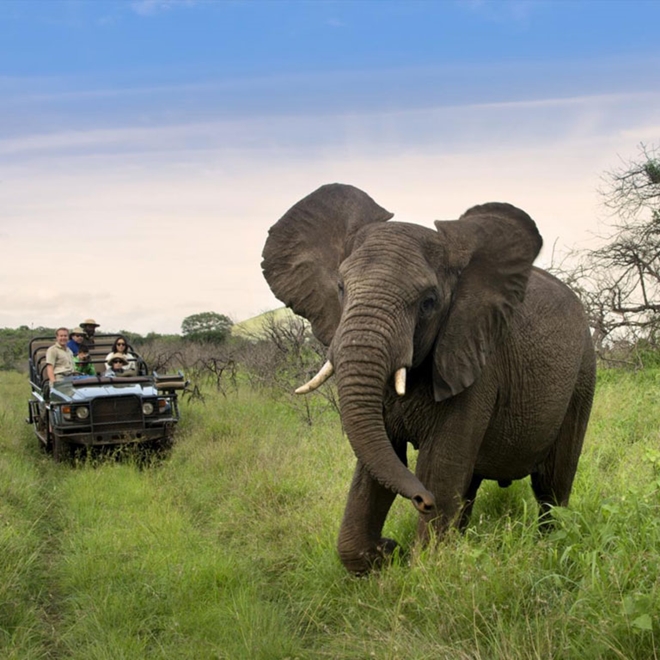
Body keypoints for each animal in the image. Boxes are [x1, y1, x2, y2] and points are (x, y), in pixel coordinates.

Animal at [261, 183, 596, 575]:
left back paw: (549, 545)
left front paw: (422, 564)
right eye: (341, 288)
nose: (422, 501)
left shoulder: (475, 361)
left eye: (429, 302)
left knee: (552, 485)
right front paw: (384, 556)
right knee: (470, 486)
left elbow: (438, 466)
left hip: (582, 376)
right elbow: (380, 464)